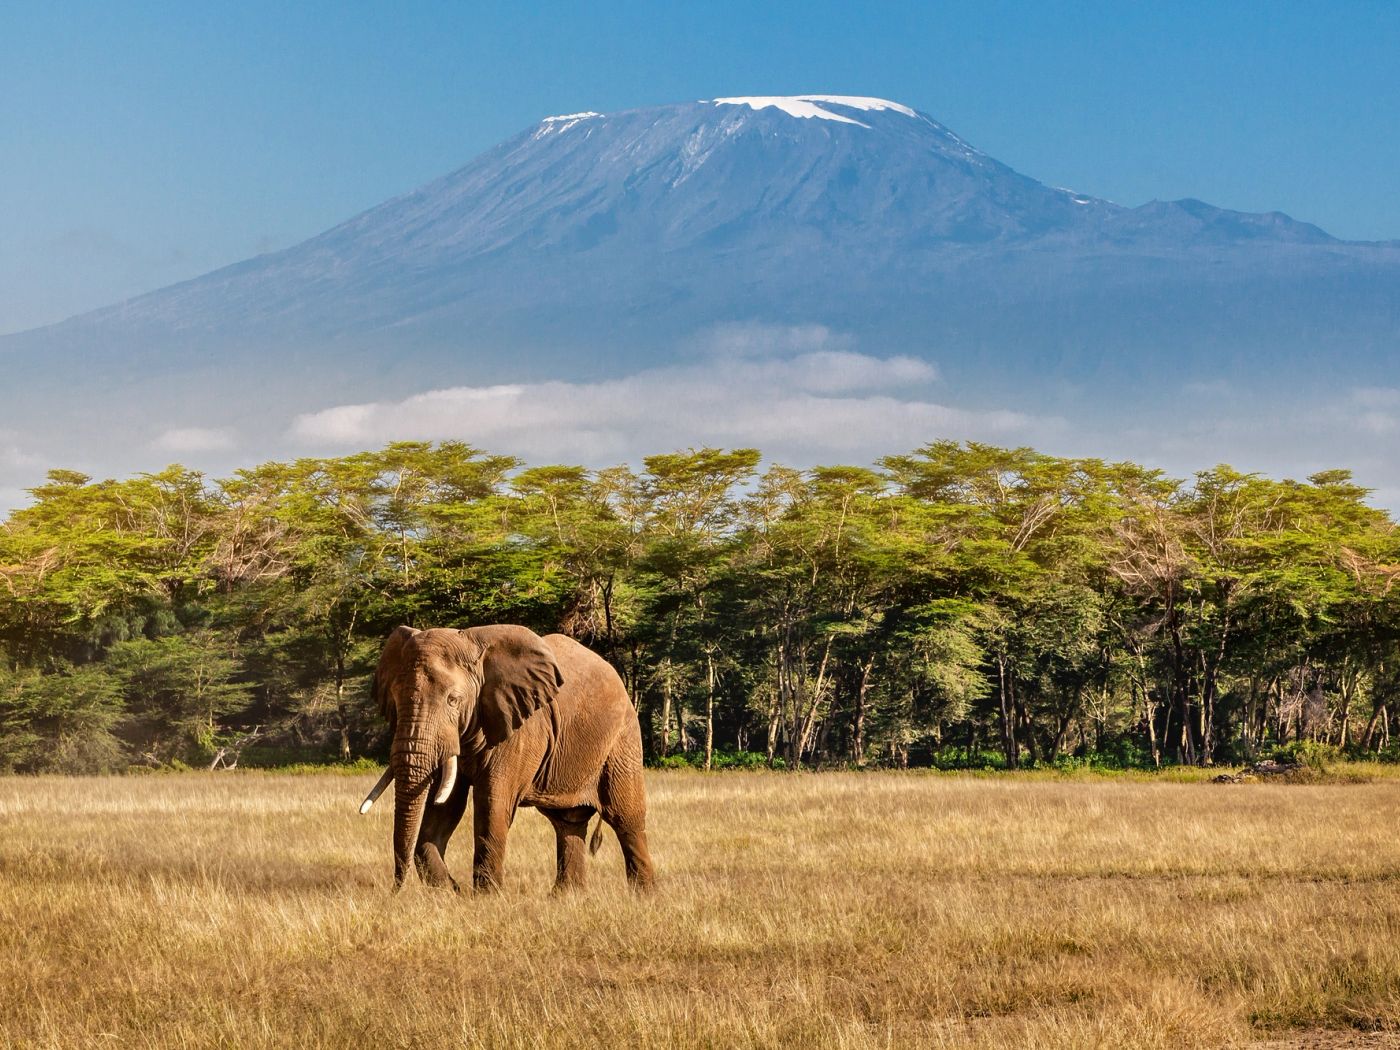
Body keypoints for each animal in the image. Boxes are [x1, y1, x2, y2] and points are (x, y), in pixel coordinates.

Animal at [358, 623, 655, 893]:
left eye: (453, 700)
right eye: (396, 700)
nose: (395, 889)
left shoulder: (521, 728)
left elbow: (493, 802)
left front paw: (486, 897)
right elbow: (445, 805)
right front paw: (451, 892)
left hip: (622, 740)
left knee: (625, 818)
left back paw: (644, 897)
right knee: (568, 822)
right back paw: (566, 898)